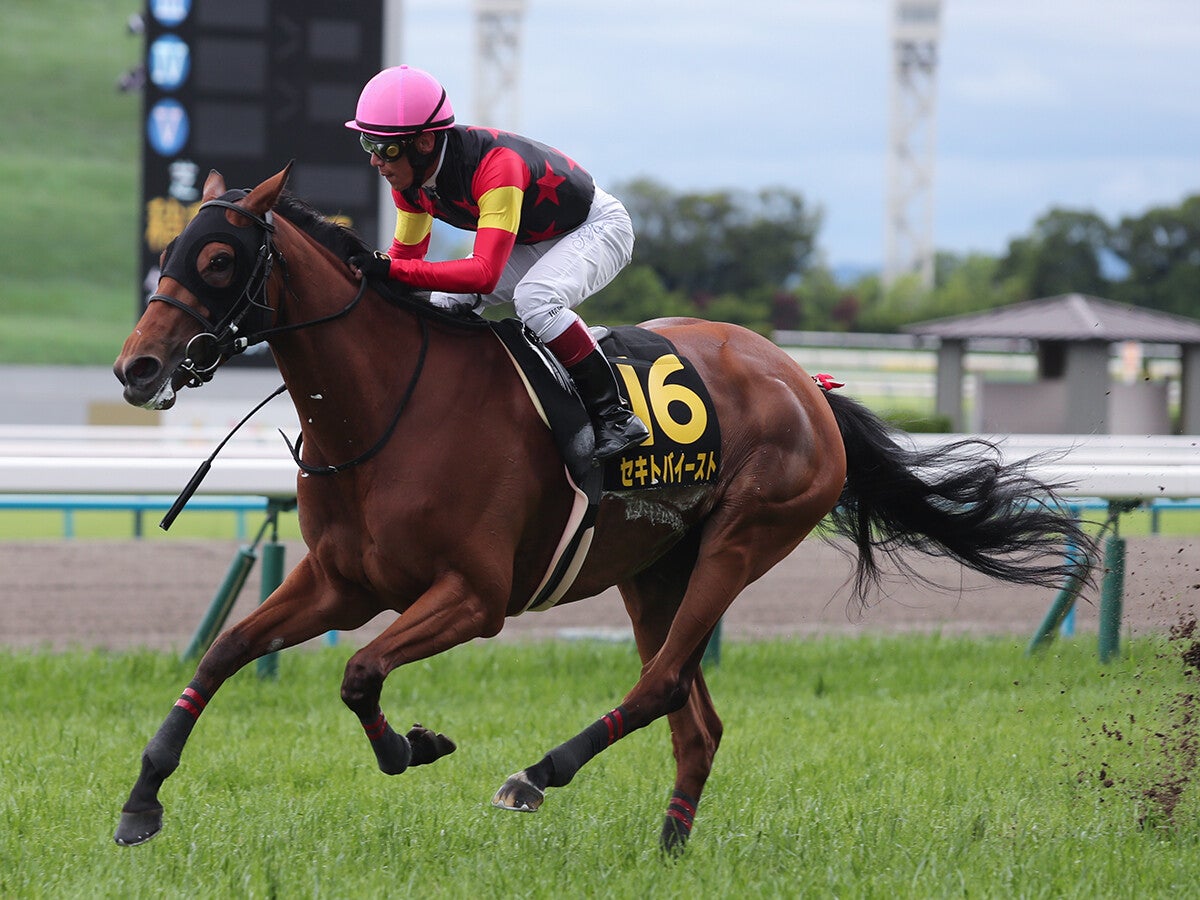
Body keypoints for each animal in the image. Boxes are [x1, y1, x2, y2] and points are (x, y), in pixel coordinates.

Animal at [112, 162, 1094, 851]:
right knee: (695, 720)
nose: (137, 367)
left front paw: (412, 747)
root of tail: (803, 380)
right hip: (653, 571)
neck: (389, 407)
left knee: (661, 686)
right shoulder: (340, 581)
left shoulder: (475, 598)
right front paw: (140, 803)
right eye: (165, 253)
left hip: (742, 540)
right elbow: (228, 649)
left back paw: (535, 776)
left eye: (218, 258)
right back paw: (667, 849)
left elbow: (359, 672)